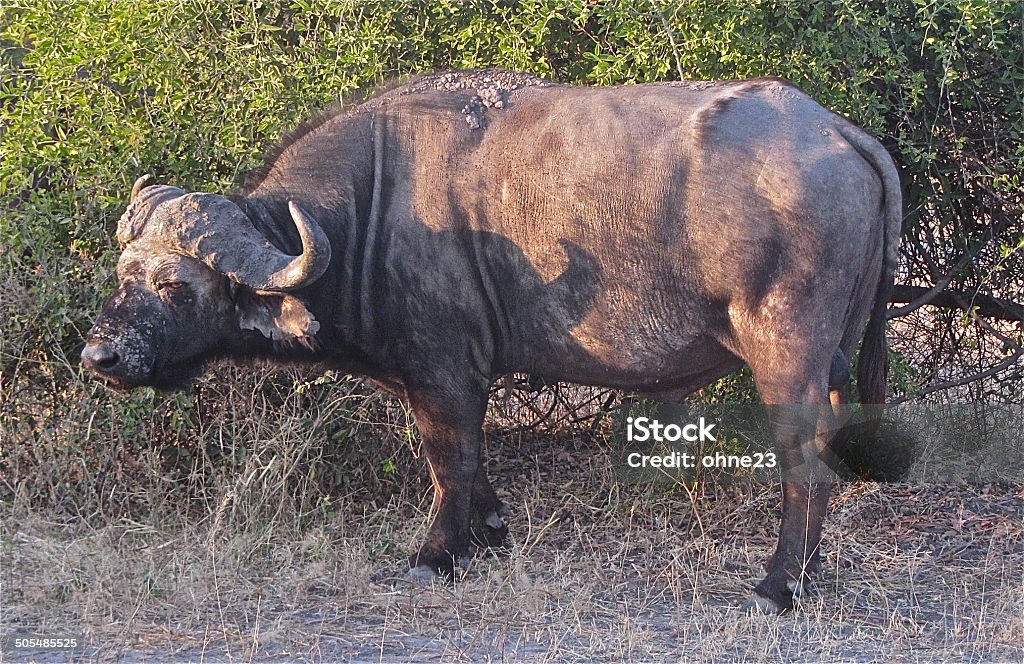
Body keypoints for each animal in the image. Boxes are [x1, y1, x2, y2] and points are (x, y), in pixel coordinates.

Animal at [83, 68, 901, 610]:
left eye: (176, 286)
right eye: (123, 273)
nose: (101, 356)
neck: (369, 210)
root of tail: (837, 132)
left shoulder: (446, 372)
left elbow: (449, 458)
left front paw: (437, 555)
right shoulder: (440, 377)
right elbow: (468, 463)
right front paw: (491, 530)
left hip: (786, 357)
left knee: (804, 463)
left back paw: (779, 584)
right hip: (831, 358)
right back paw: (813, 568)